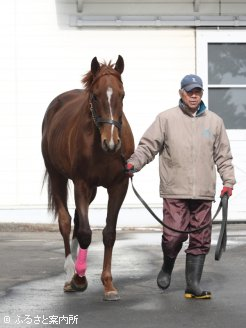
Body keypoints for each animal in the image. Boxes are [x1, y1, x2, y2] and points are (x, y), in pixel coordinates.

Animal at [42, 55, 135, 300]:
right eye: (95, 96)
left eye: (123, 94)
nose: (111, 143)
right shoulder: (81, 183)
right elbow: (85, 233)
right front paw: (79, 278)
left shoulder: (119, 185)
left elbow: (109, 233)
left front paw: (108, 284)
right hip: (57, 176)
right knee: (66, 222)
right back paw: (69, 273)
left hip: (91, 190)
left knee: (76, 219)